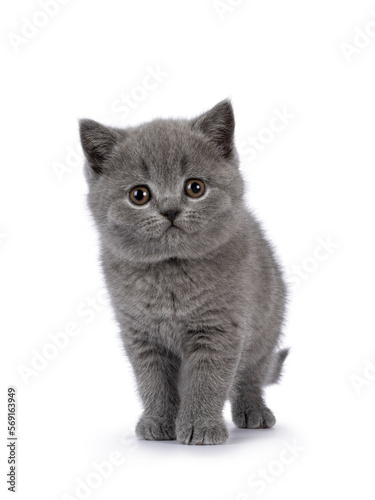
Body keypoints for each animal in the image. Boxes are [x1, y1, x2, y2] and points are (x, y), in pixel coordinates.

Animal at [79, 100, 290, 446]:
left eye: (195, 188)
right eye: (139, 195)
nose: (170, 210)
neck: (171, 273)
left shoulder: (220, 329)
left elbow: (208, 380)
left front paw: (200, 427)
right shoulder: (141, 334)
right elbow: (153, 382)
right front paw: (158, 423)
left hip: (266, 327)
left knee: (250, 374)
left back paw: (253, 412)